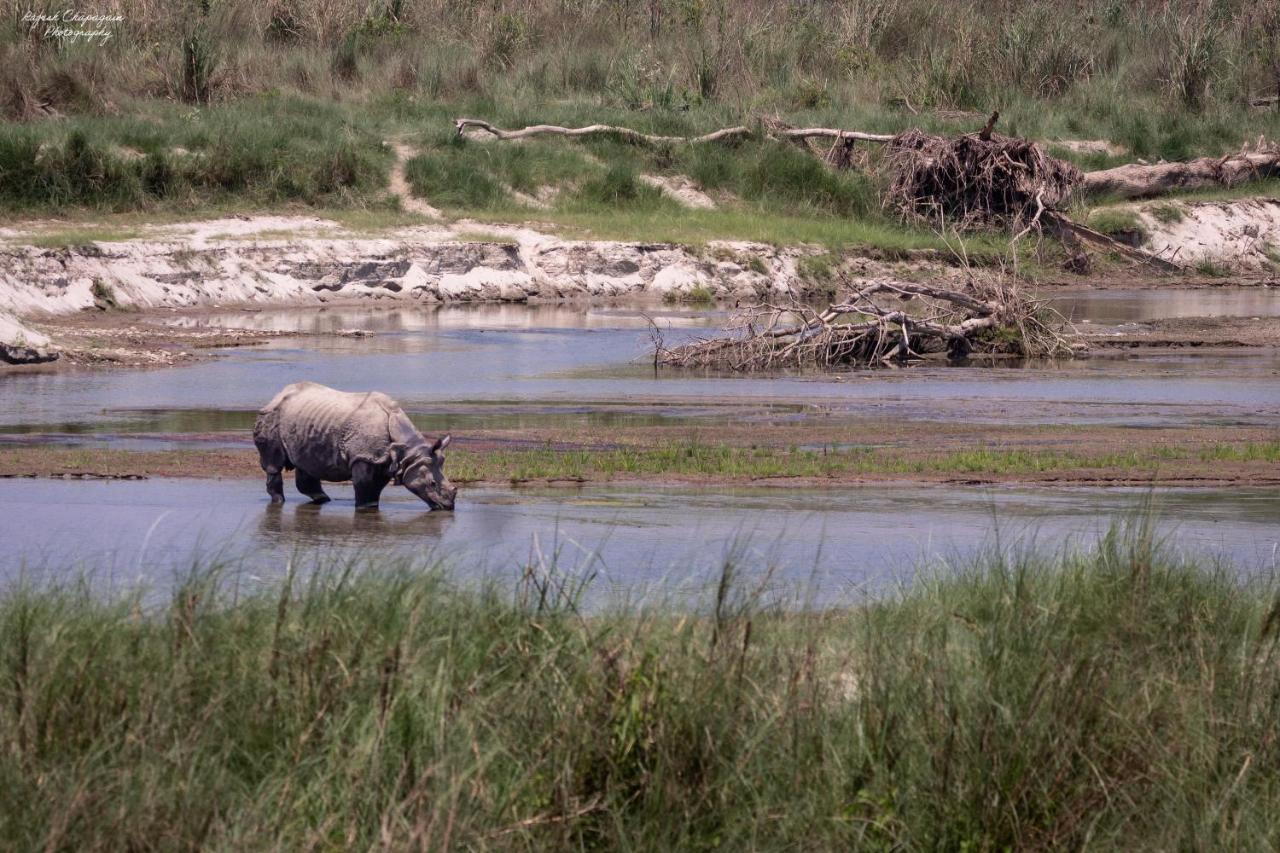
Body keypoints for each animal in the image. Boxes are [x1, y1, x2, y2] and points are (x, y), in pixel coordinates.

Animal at [252, 381, 458, 507]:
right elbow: (365, 488)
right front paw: (364, 509)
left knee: (306, 463)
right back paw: (280, 501)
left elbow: (374, 492)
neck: (408, 452)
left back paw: (323, 500)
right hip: (271, 416)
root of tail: (278, 394)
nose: (449, 507)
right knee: (274, 464)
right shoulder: (364, 457)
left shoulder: (381, 460)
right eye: (432, 483)